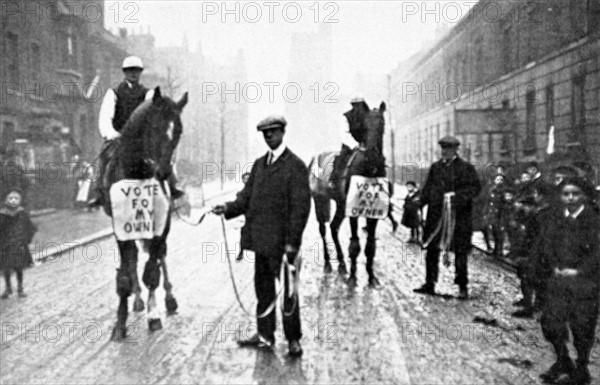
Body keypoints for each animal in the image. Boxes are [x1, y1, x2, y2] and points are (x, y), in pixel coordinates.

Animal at [99, 87, 188, 340]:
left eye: (178, 130)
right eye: (155, 127)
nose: (164, 172)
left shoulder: (161, 224)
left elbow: (152, 271)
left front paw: (154, 315)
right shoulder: (121, 228)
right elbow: (125, 275)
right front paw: (120, 323)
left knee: (160, 257)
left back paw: (168, 298)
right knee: (133, 258)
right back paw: (137, 299)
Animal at [310, 100, 390, 286]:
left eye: (382, 124)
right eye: (365, 125)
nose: (373, 152)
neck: (368, 169)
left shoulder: (373, 212)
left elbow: (370, 245)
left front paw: (371, 275)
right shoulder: (353, 211)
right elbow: (354, 245)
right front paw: (353, 277)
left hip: (340, 204)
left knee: (333, 227)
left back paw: (341, 263)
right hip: (319, 199)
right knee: (323, 229)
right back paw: (328, 263)